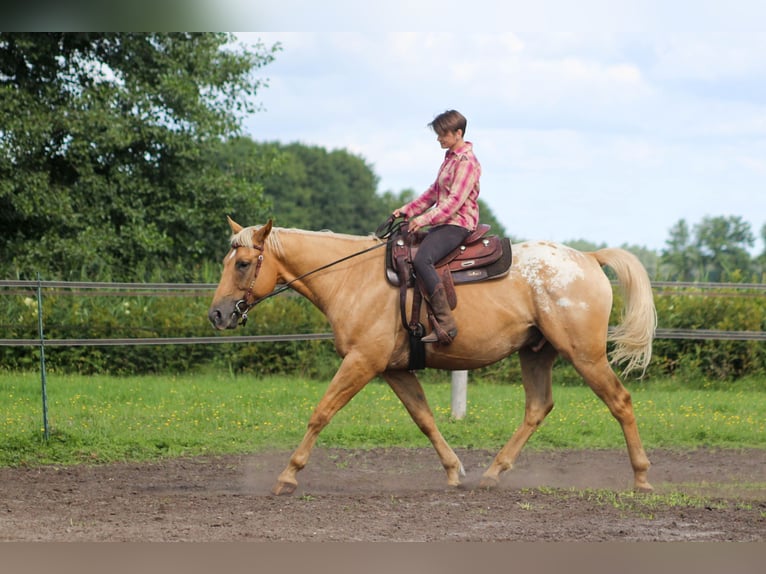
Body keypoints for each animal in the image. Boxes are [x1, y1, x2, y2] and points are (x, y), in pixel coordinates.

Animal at [208, 217, 657, 495]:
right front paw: (455, 471)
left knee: (620, 401)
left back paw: (641, 478)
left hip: (584, 354)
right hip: (537, 353)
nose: (217, 314)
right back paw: (492, 473)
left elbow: (321, 413)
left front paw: (287, 476)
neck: (352, 279)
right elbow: (423, 418)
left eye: (244, 263)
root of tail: (589, 258)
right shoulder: (393, 370)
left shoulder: (361, 362)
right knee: (537, 407)